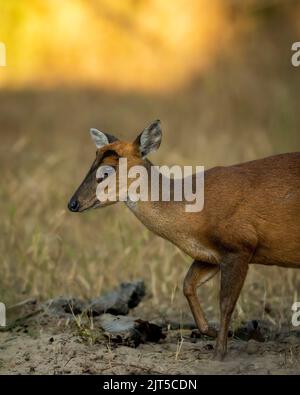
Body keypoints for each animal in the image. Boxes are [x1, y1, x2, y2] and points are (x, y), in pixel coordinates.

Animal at [68, 120, 300, 358]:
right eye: (92, 161)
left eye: (107, 170)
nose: (73, 203)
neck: (194, 214)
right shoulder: (211, 255)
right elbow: (188, 284)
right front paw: (213, 332)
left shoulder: (241, 245)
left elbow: (225, 303)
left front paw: (220, 353)